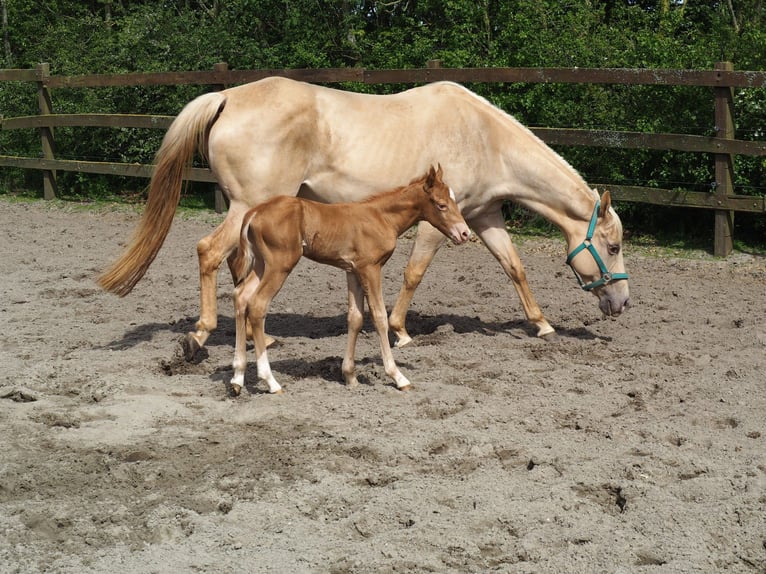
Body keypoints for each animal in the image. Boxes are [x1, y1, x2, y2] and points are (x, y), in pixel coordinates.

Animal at [99, 76, 632, 356]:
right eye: (613, 246)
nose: (622, 303)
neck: (483, 137)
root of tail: (227, 96)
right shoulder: (437, 222)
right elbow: (414, 273)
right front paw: (399, 330)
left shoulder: (481, 218)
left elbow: (514, 267)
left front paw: (541, 325)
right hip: (246, 204)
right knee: (210, 253)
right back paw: (202, 334)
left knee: (238, 267)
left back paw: (253, 335)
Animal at [228, 166, 472, 398]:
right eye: (441, 205)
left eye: (454, 201)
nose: (465, 233)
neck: (381, 217)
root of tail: (253, 212)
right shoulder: (370, 268)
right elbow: (379, 316)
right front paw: (398, 376)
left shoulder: (353, 271)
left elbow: (355, 318)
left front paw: (350, 376)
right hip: (280, 265)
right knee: (257, 305)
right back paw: (270, 381)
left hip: (261, 265)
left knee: (241, 296)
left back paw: (237, 378)